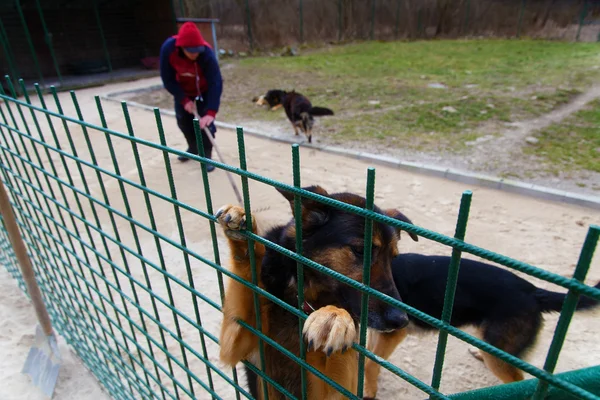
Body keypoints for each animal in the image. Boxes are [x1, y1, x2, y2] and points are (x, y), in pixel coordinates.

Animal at [216, 186, 418, 400]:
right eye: (361, 250)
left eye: (393, 258)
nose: (401, 320)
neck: (303, 298)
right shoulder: (235, 343)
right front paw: (243, 229)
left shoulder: (334, 390)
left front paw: (333, 316)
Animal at [360, 253, 600, 396]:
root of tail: (533, 291)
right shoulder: (377, 332)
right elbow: (370, 353)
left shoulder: (393, 334)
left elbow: (371, 362)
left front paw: (368, 390)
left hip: (498, 354)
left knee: (518, 379)